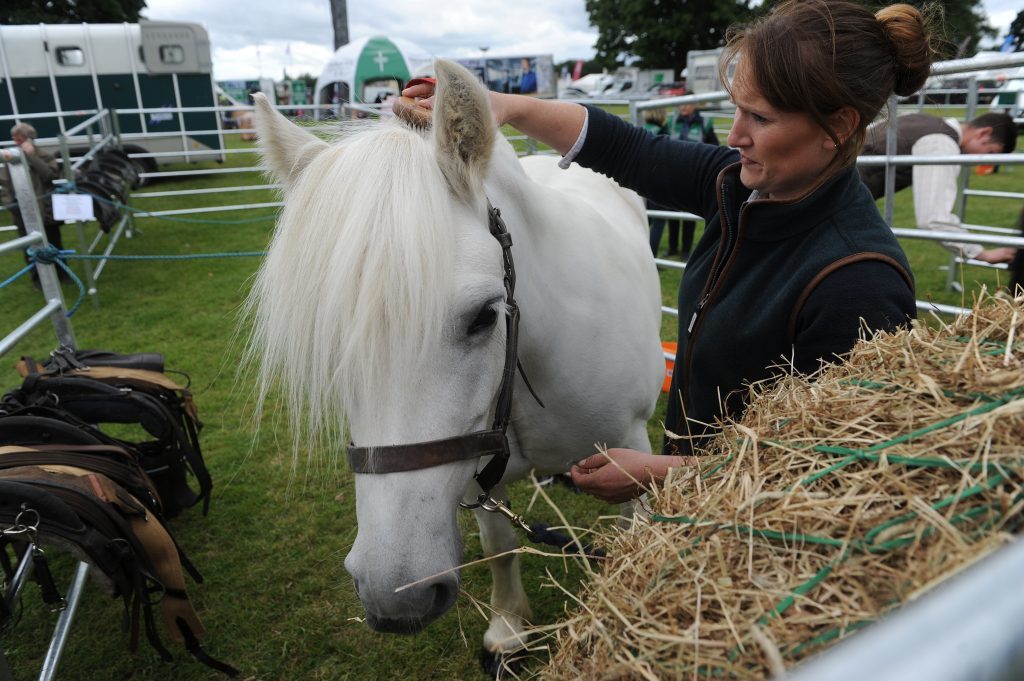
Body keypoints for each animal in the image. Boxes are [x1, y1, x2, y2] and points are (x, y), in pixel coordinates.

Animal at [247, 61, 663, 667]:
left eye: (484, 317)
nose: (395, 593)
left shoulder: (629, 449)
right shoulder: (475, 467)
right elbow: (499, 545)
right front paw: (508, 628)